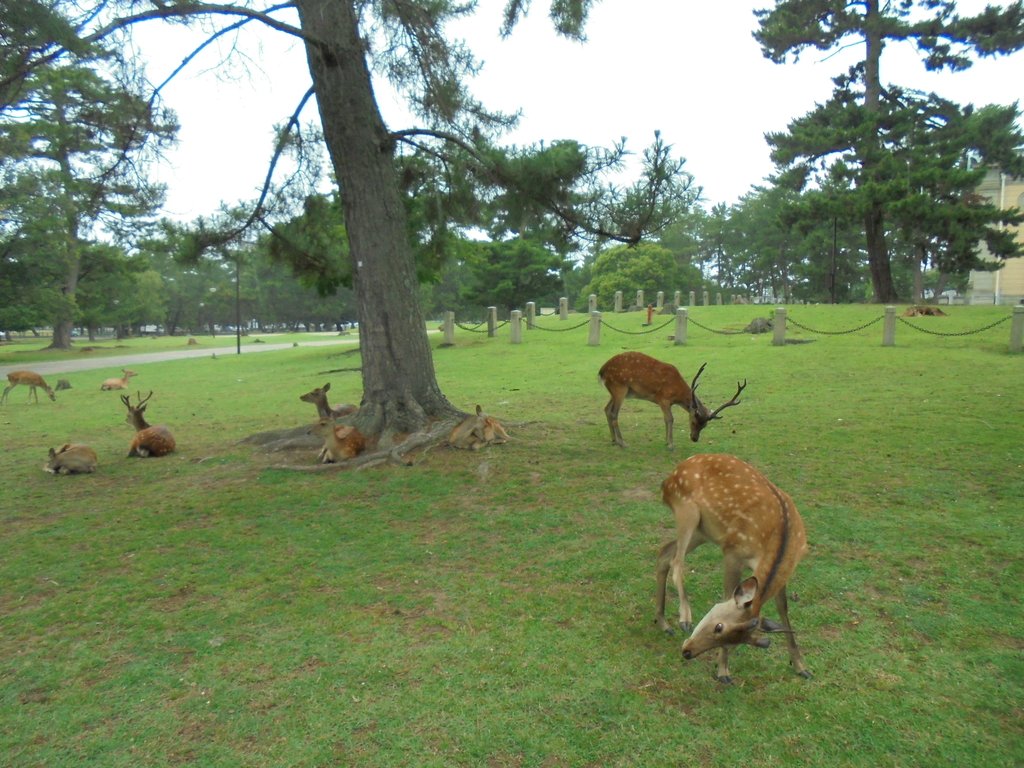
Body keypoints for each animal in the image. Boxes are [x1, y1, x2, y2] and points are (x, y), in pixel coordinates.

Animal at [598, 354, 749, 450]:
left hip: (614, 391)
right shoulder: (663, 399)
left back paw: (613, 440)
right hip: (619, 387)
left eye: (705, 425)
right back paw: (622, 443)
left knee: (606, 409)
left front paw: (666, 442)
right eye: (693, 422)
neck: (677, 392)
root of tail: (601, 371)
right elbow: (670, 419)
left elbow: (666, 420)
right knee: (614, 413)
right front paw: (671, 444)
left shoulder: (666, 402)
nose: (694, 438)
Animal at [659, 454, 811, 684]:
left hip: (704, 531)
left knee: (664, 553)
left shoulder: (784, 574)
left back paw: (663, 623)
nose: (687, 652)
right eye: (719, 626)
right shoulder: (733, 552)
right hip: (686, 510)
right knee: (677, 561)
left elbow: (783, 609)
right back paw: (684, 617)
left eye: (733, 643)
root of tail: (667, 481)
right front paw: (723, 671)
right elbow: (726, 595)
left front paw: (801, 666)